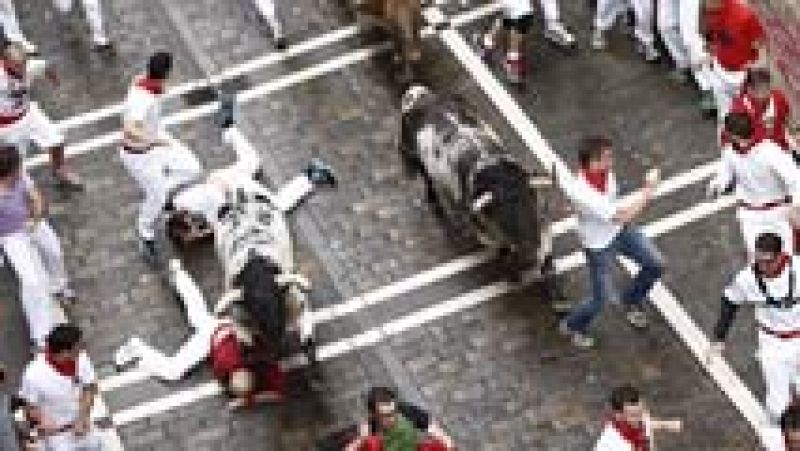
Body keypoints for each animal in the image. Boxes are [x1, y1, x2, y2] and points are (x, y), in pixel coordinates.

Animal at [398, 87, 564, 294]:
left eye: (530, 201)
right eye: (502, 214)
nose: (529, 251)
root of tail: (420, 94)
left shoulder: (541, 223)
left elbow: (546, 254)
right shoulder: (486, 234)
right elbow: (503, 252)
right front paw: (513, 276)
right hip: (420, 163)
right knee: (429, 182)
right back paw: (436, 205)